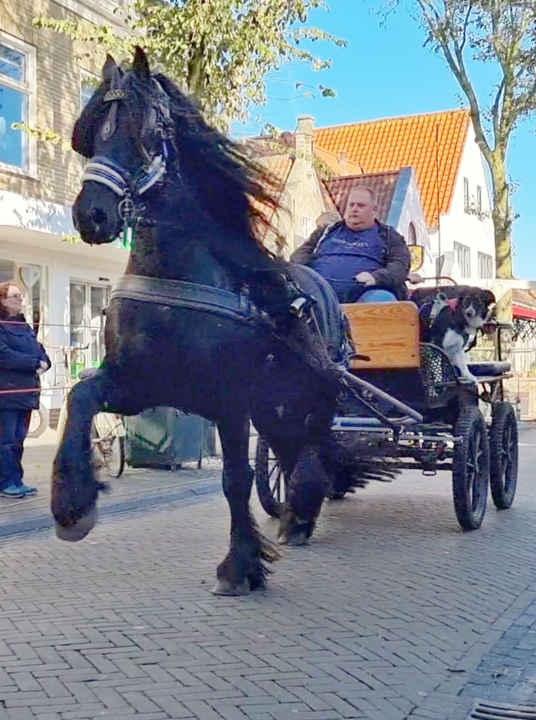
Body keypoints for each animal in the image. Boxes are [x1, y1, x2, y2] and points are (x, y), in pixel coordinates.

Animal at [53, 47, 390, 592]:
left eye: (144, 130)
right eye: (90, 134)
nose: (92, 215)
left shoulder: (231, 401)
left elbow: (236, 480)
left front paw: (240, 565)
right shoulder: (139, 383)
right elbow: (79, 396)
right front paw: (72, 504)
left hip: (310, 397)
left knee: (312, 448)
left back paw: (301, 514)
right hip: (275, 405)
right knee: (292, 449)